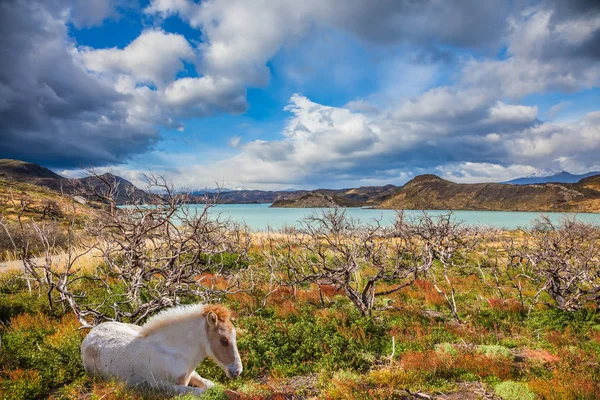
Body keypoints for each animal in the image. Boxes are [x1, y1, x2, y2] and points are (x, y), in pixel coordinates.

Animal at [81, 304, 243, 396]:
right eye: (224, 340)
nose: (237, 371)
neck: (175, 353)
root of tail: (91, 332)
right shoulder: (162, 387)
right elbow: (202, 392)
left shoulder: (192, 374)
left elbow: (211, 385)